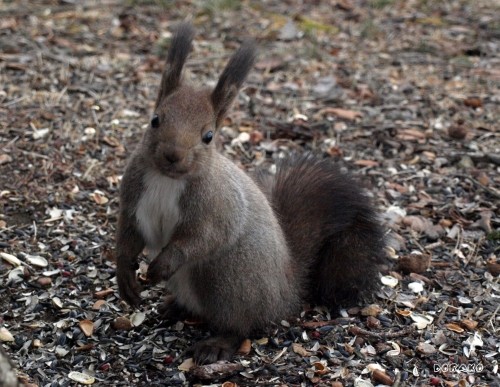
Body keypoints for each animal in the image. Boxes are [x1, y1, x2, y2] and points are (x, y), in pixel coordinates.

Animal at [116, 23, 386, 366]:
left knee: (241, 325)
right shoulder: (133, 198)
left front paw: (162, 265)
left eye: (208, 136)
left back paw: (217, 343)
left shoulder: (216, 209)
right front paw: (124, 275)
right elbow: (128, 236)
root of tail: (286, 293)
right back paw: (173, 307)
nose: (172, 155)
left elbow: (201, 239)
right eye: (155, 120)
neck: (167, 179)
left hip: (226, 280)